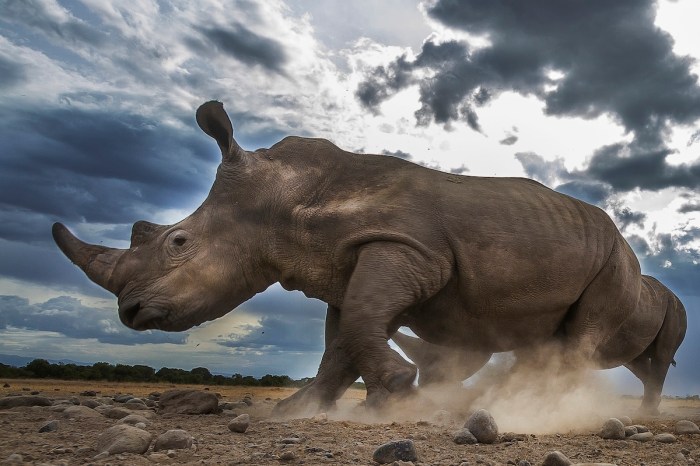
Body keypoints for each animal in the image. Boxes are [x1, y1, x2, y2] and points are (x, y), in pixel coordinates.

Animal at [53, 100, 645, 417]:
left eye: (177, 243)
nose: (129, 313)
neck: (284, 196)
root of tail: (620, 235)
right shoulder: (339, 266)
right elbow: (341, 339)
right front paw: (300, 410)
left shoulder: (405, 246)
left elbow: (361, 322)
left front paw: (395, 393)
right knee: (546, 339)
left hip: (618, 260)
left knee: (580, 337)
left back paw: (544, 410)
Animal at [392, 274, 686, 414]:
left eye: (449, 358)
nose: (428, 387)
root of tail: (672, 294)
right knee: (636, 362)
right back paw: (651, 407)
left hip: (675, 307)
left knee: (661, 356)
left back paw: (646, 412)